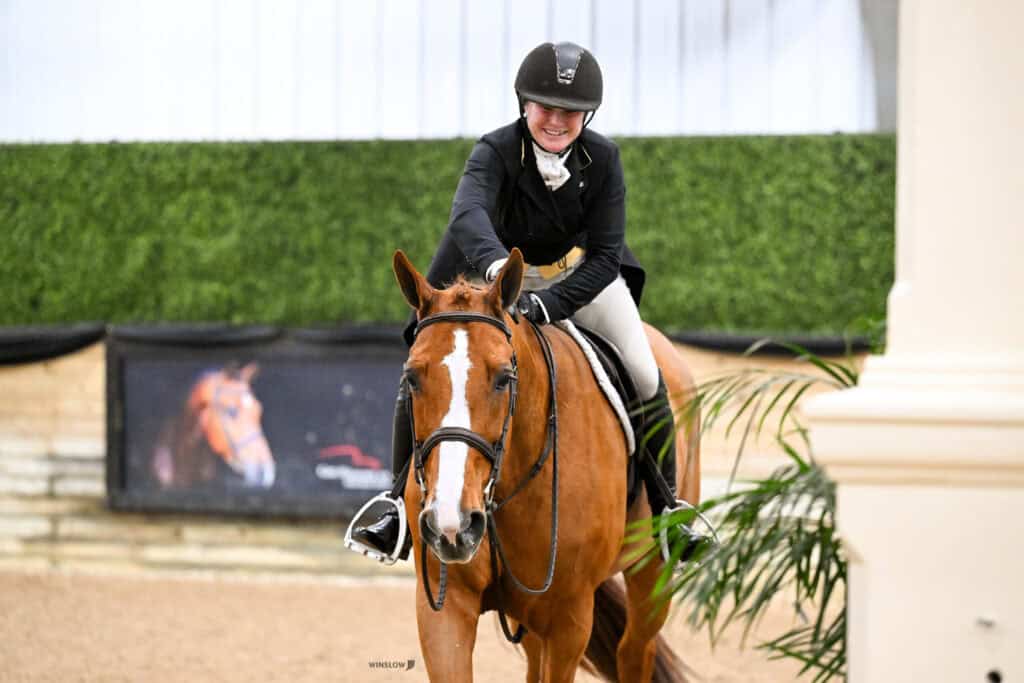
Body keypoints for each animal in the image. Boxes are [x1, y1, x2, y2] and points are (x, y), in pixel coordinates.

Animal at [393, 248, 701, 682]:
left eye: (504, 378)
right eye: (412, 378)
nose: (452, 524)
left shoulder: (569, 620)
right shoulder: (445, 608)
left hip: (651, 569)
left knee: (634, 650)